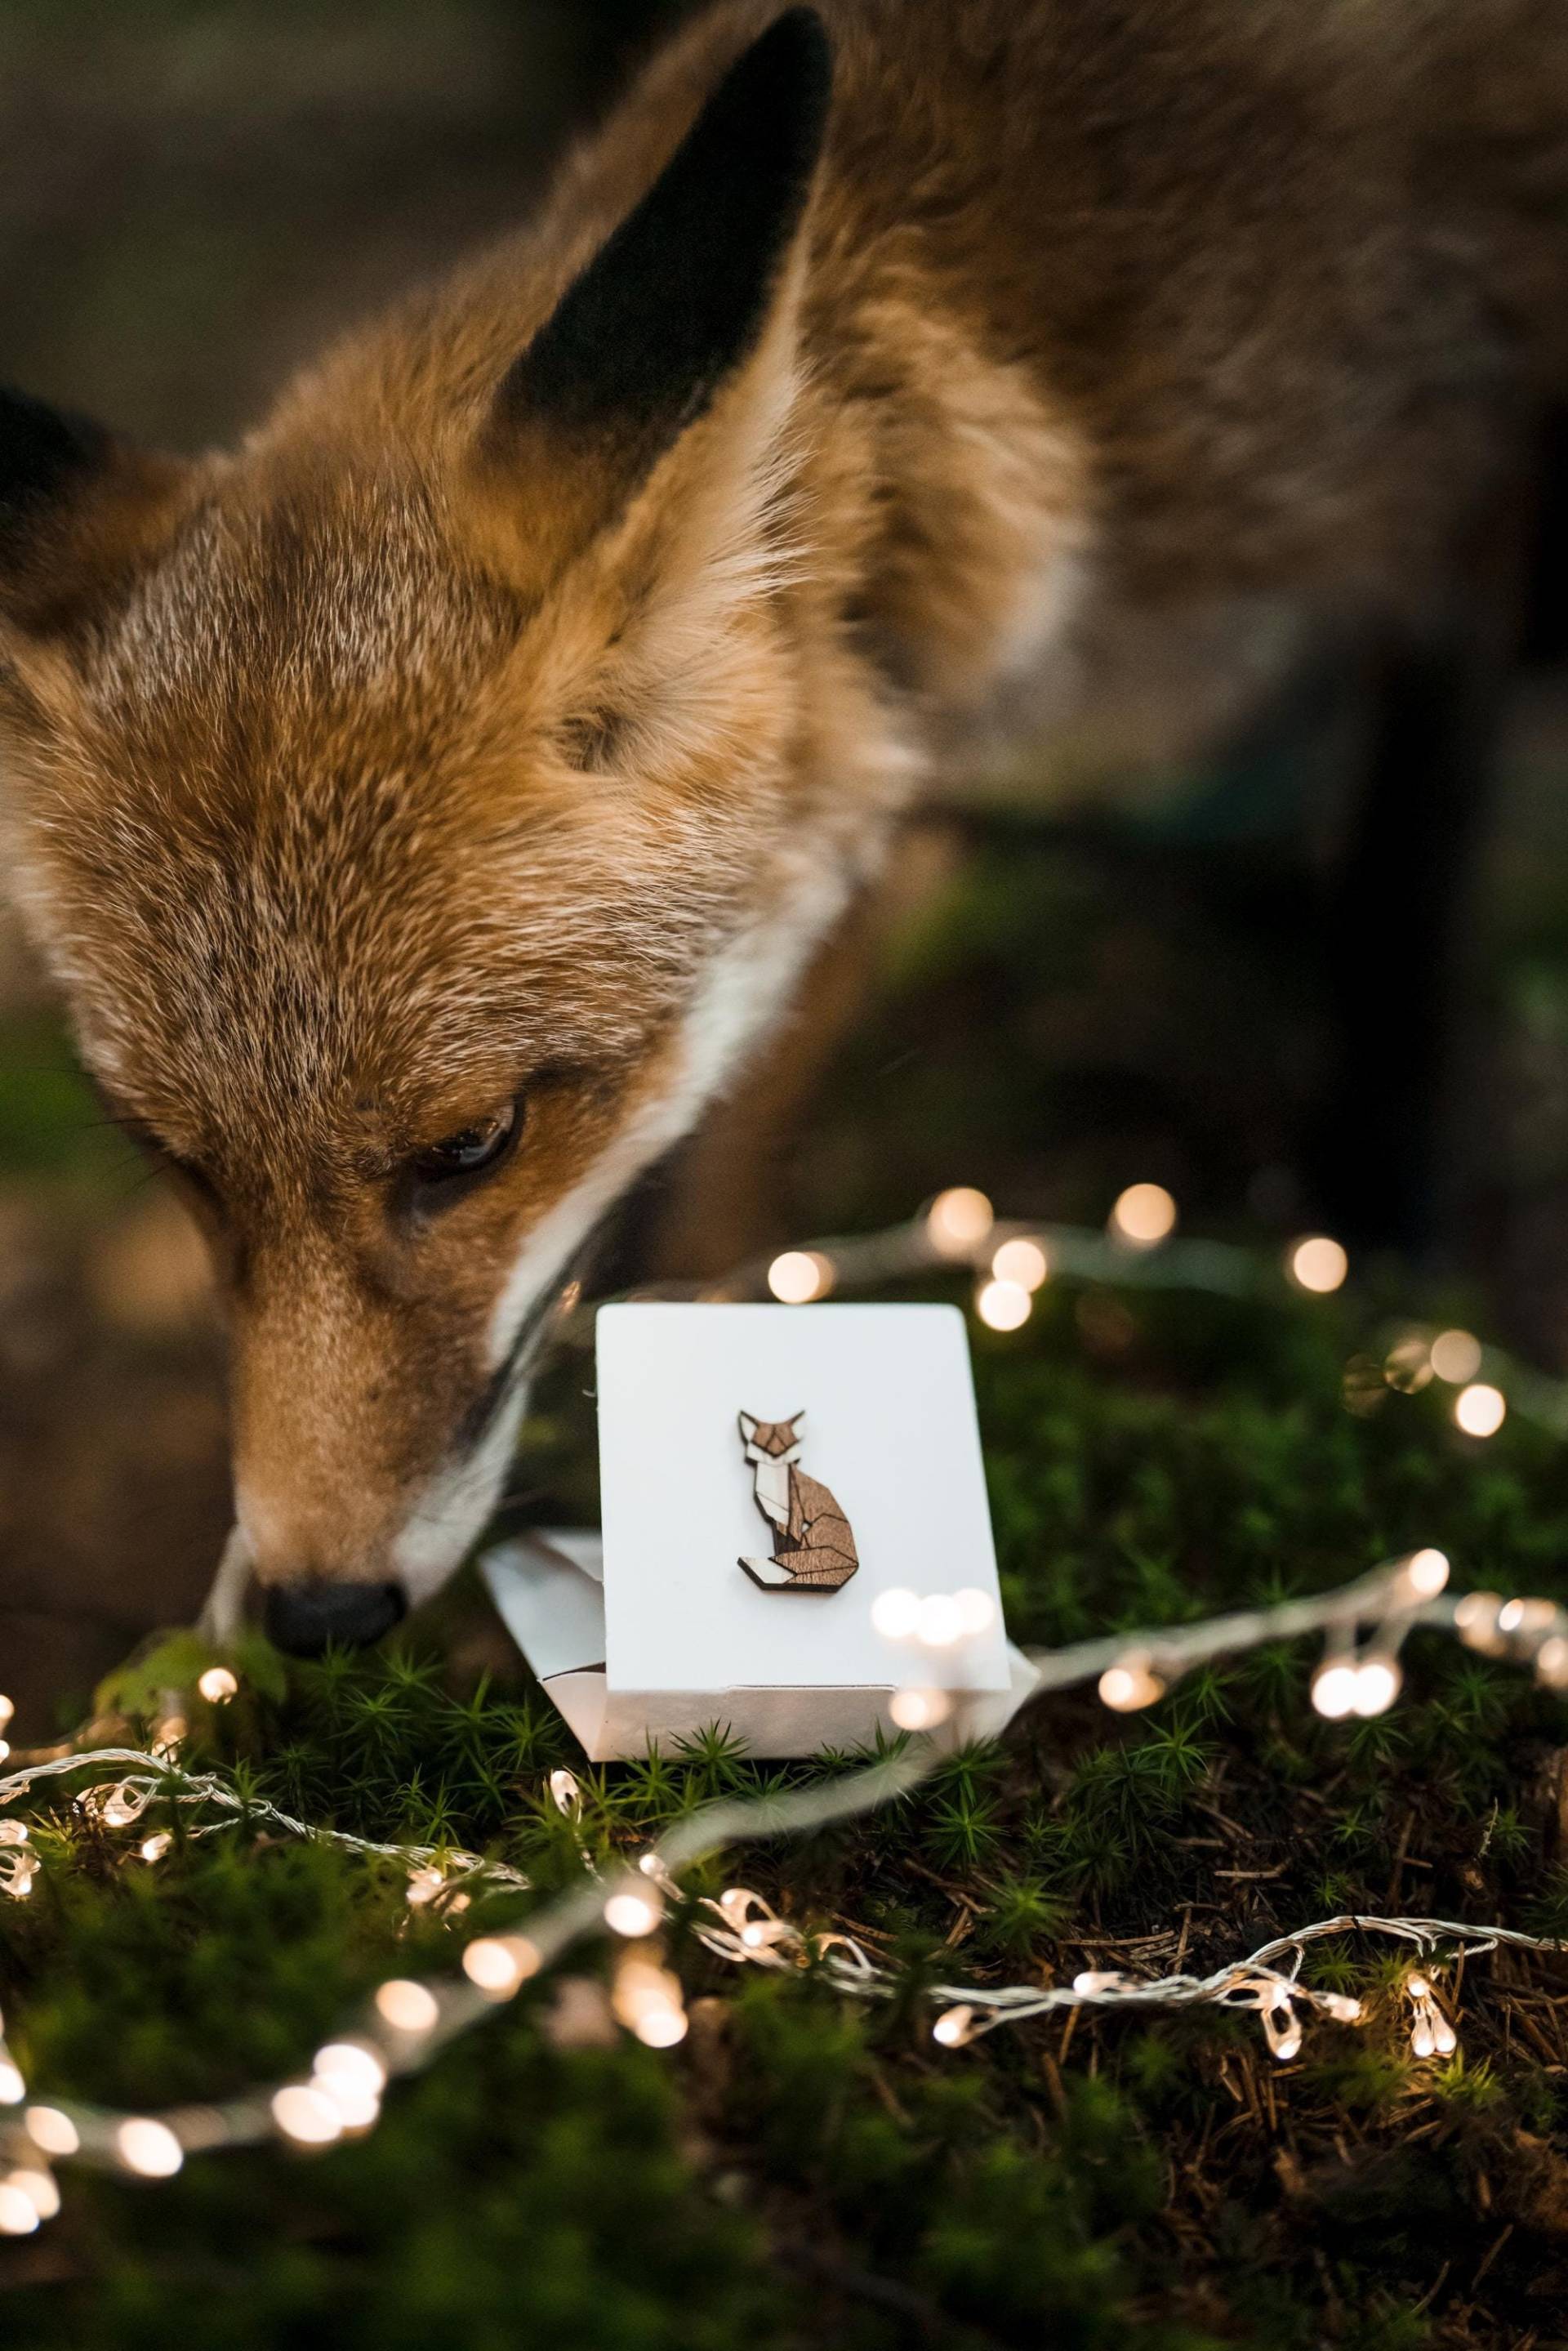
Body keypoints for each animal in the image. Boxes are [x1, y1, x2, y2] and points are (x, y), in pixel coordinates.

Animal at [736, 1410, 859, 1591]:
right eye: (764, 1445)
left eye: (786, 1445)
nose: (776, 1454)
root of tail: (853, 1561)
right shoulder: (776, 1515)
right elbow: (781, 1540)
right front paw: (785, 1554)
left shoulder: (795, 1508)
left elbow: (793, 1539)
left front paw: (789, 1556)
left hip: (813, 1532)